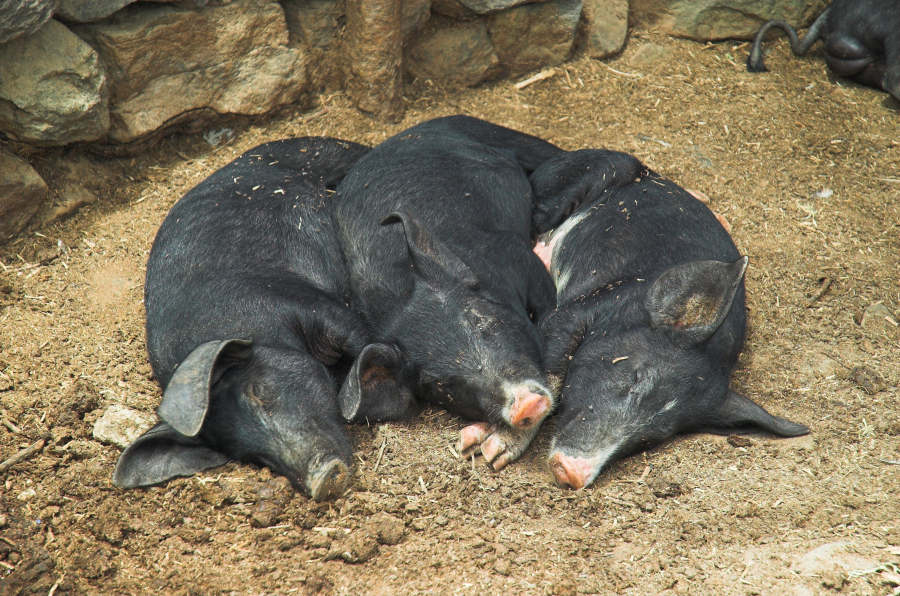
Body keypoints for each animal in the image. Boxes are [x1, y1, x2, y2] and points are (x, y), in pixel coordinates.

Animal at [113, 135, 418, 498]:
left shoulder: (304, 302)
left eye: (260, 392)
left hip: (327, 151)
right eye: (251, 456)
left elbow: (362, 337)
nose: (322, 480)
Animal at [334, 115, 568, 470]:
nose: (524, 405)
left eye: (484, 322)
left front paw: (492, 448)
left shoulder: (514, 255)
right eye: (443, 385)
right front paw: (476, 446)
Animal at [532, 148, 812, 488]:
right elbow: (552, 367)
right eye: (635, 378)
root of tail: (654, 174)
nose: (572, 473)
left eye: (654, 436)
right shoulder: (585, 308)